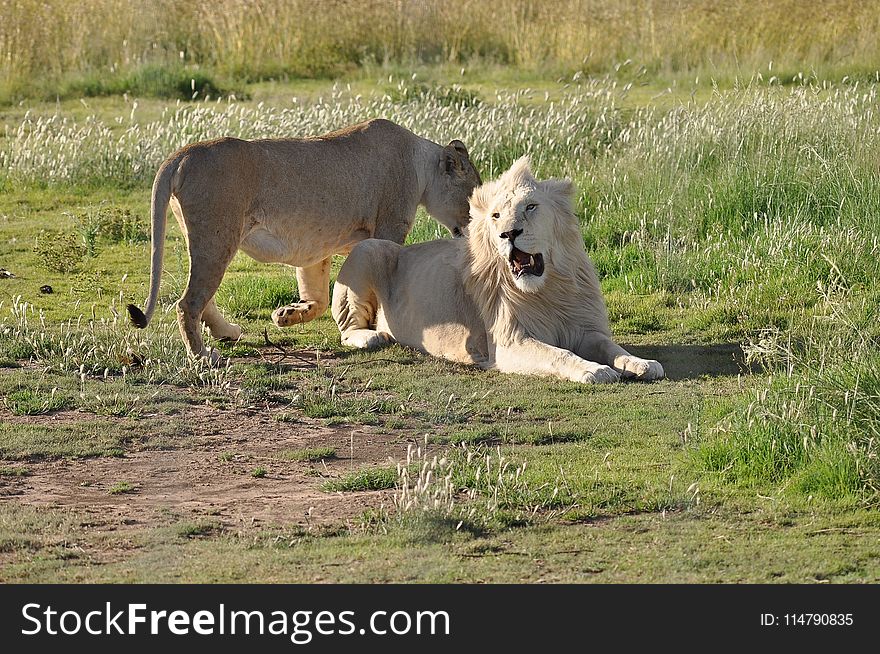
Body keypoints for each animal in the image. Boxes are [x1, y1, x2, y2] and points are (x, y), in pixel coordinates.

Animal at [334, 158, 664, 384]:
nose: (509, 233)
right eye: (496, 215)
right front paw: (594, 370)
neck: (547, 288)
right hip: (368, 250)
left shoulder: (584, 329)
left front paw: (642, 363)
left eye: (530, 206)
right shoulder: (509, 343)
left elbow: (613, 347)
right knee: (347, 330)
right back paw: (373, 337)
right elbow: (560, 354)